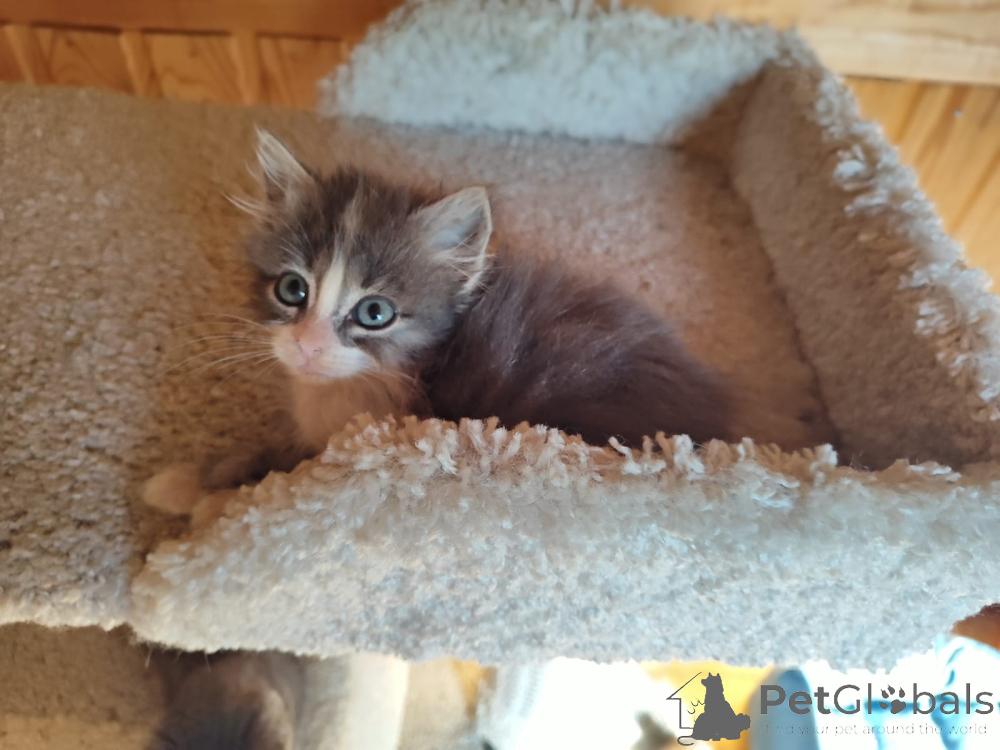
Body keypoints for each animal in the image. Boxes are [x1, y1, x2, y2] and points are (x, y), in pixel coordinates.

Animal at [144, 128, 733, 747]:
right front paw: (186, 482)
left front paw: (202, 499)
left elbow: (276, 477)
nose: (306, 345)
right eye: (291, 289)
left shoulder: (359, 448)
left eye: (374, 312)